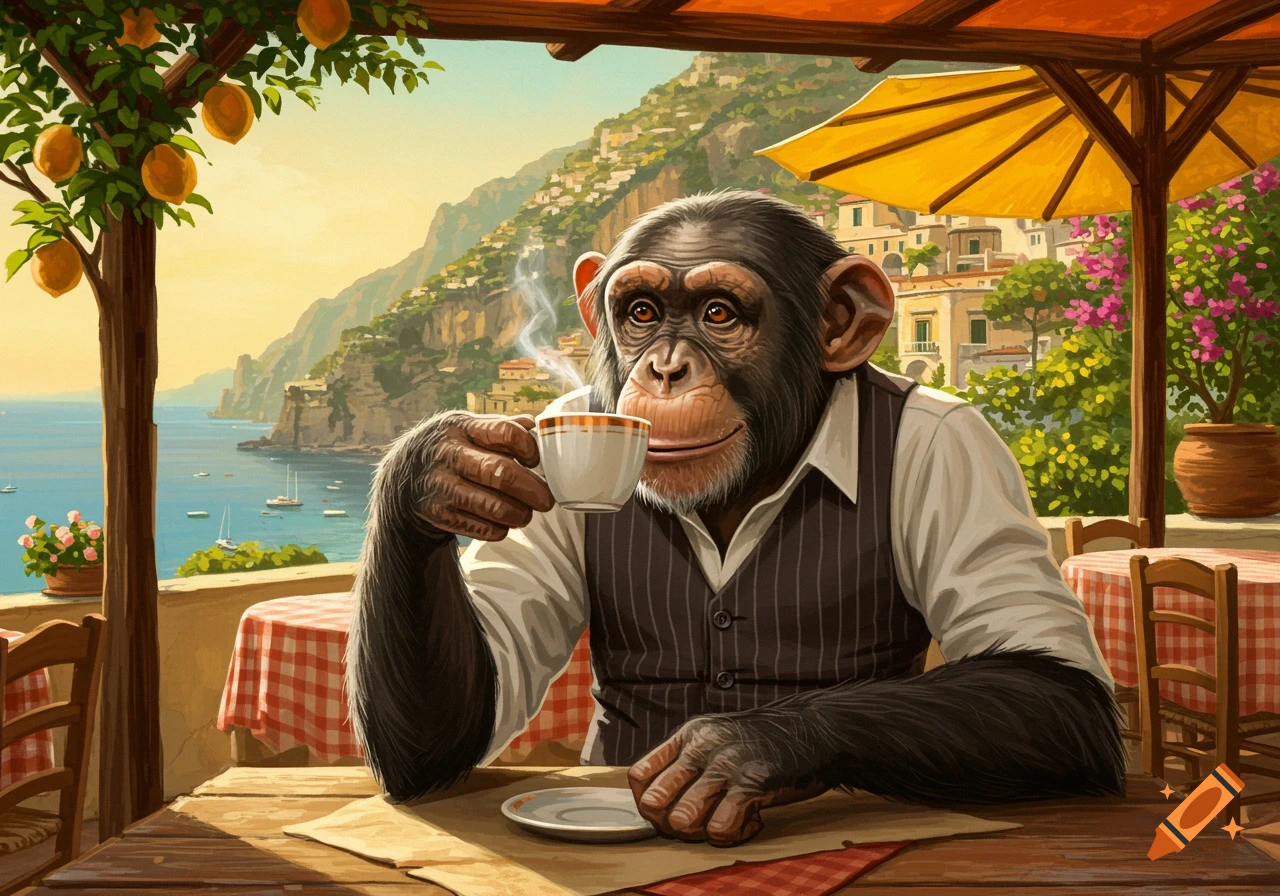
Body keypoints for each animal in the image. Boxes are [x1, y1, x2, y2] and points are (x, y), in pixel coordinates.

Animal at [347, 190, 1125, 847]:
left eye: (719, 313)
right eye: (641, 313)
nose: (664, 369)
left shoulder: (960, 446)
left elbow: (1057, 684)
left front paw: (741, 750)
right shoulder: (555, 422)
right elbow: (463, 718)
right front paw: (436, 473)